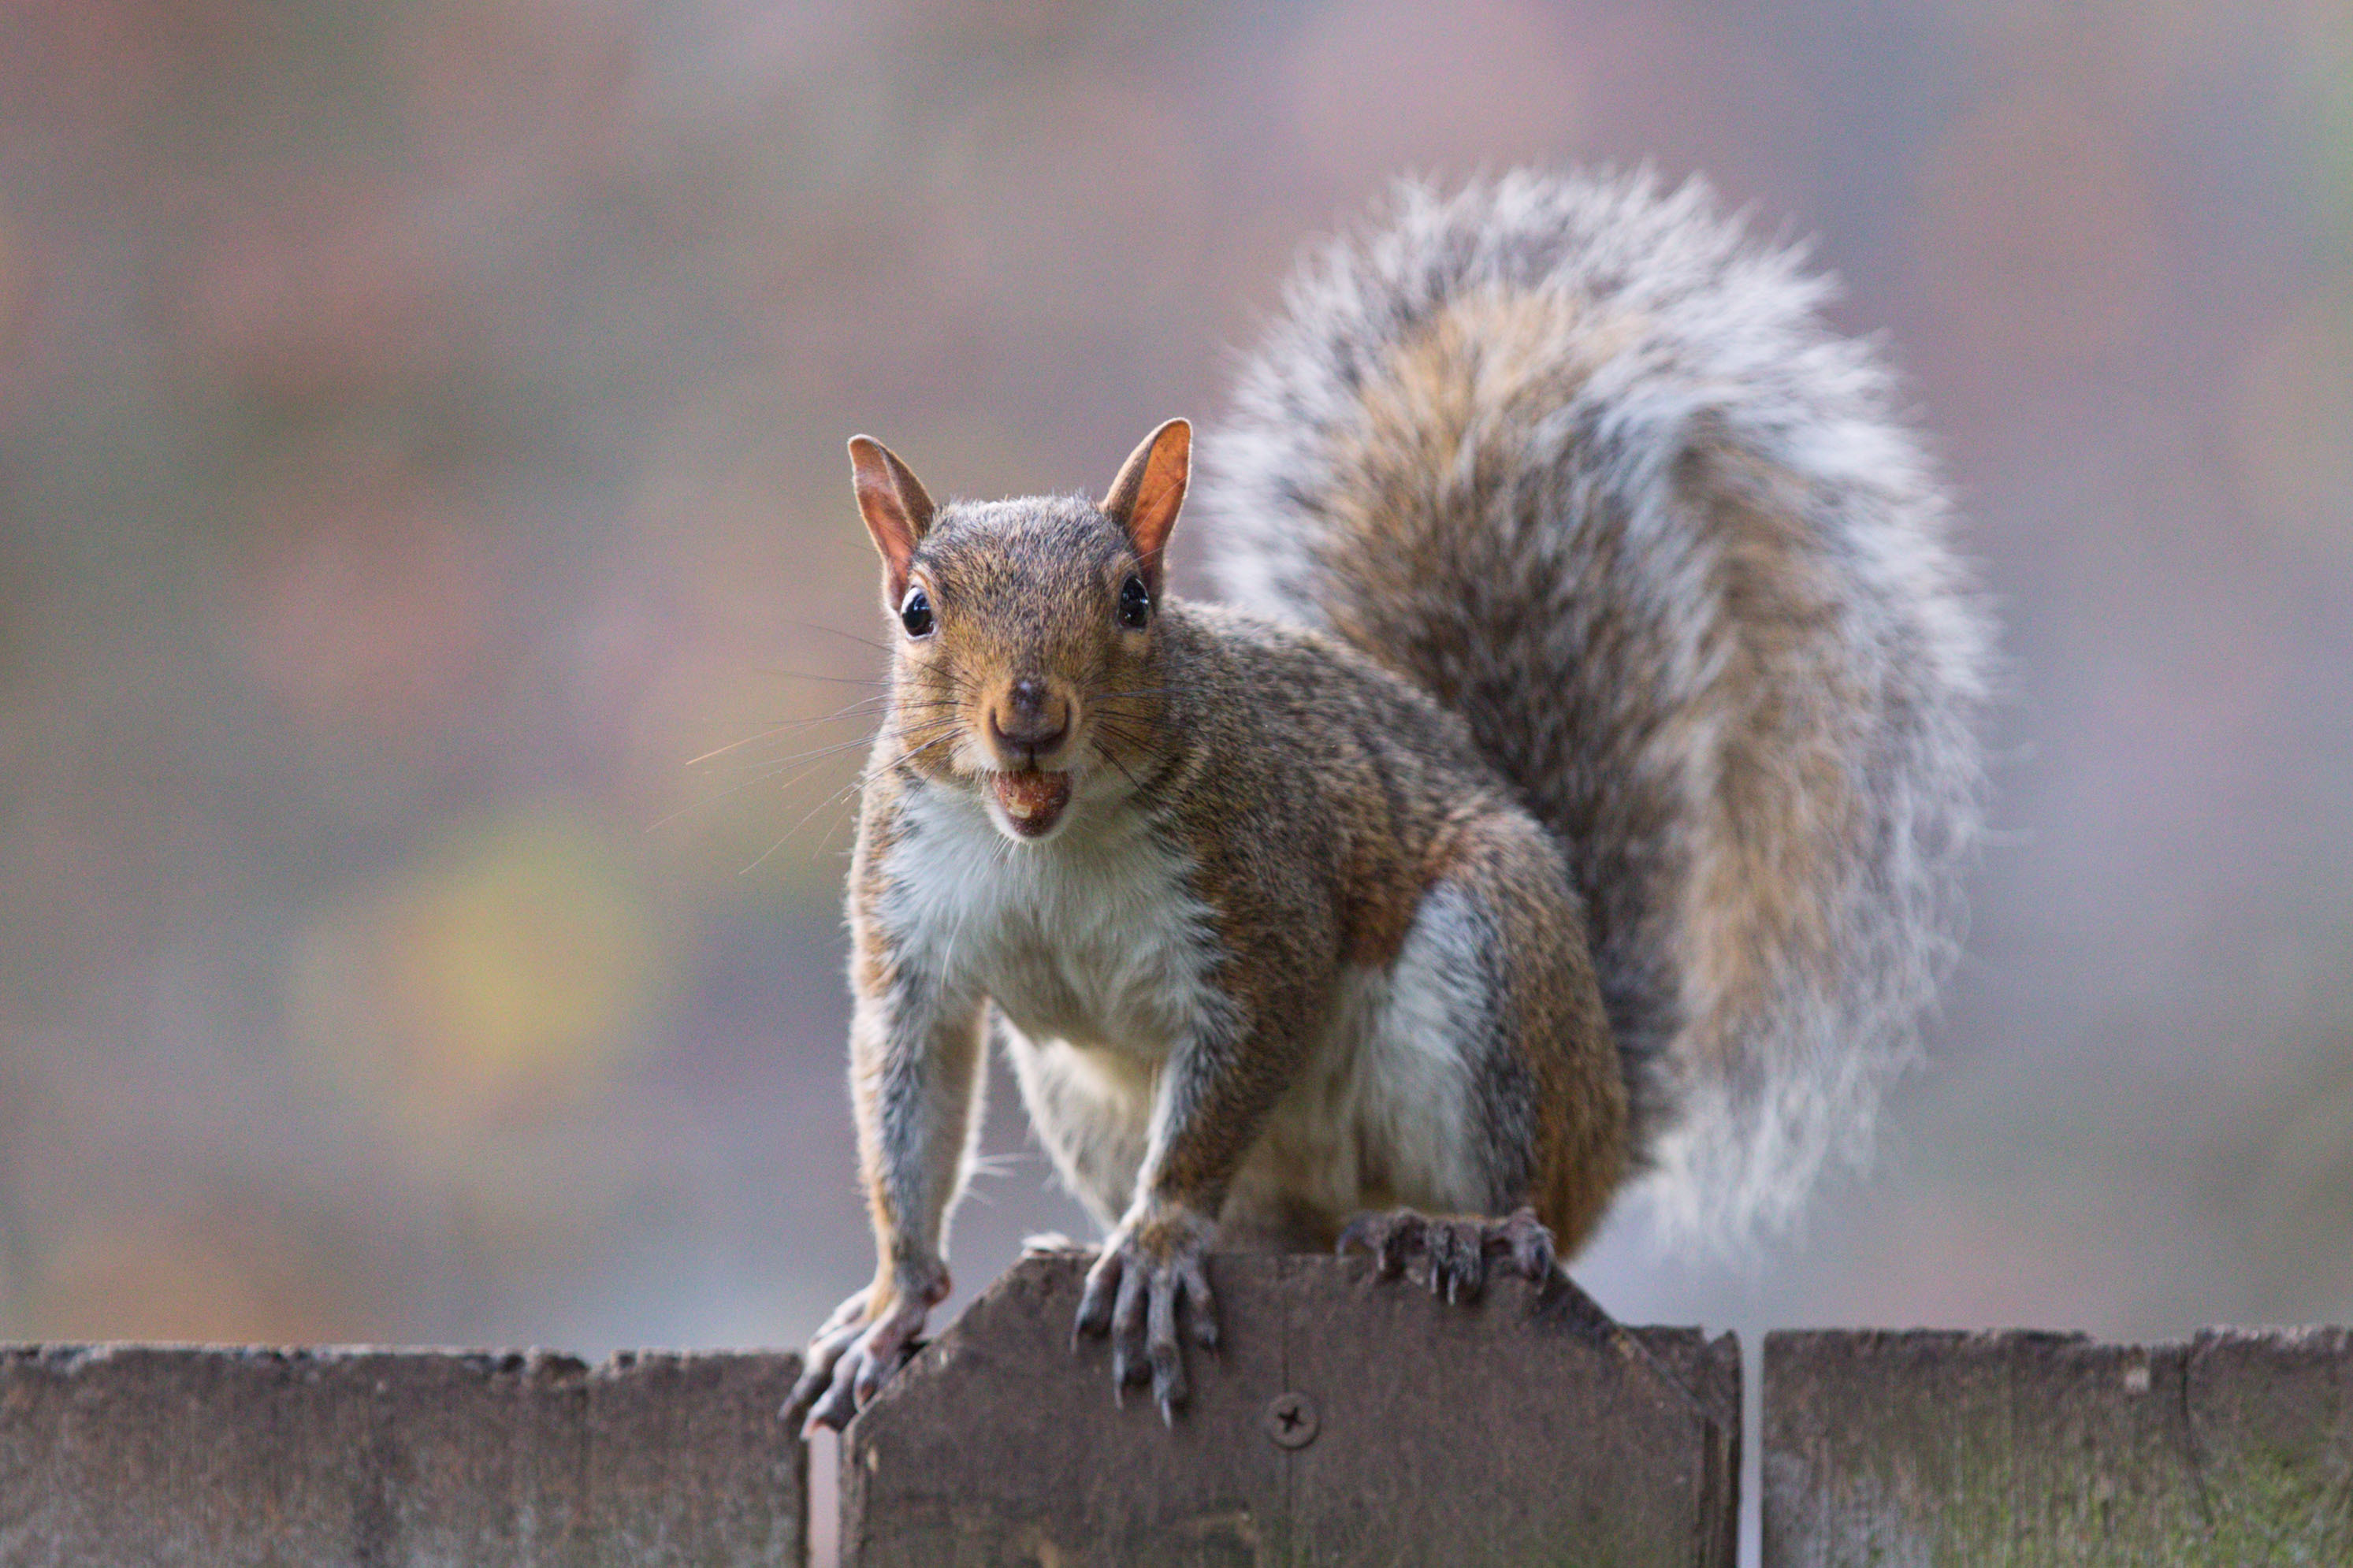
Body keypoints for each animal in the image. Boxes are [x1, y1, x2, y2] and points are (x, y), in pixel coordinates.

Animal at [786, 170, 1986, 1431]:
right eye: (917, 611)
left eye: (1133, 599)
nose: (1028, 712)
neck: (1046, 844)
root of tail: (1605, 1110)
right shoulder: (910, 930)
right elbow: (907, 1102)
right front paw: (893, 1302)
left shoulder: (1261, 911)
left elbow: (1225, 1088)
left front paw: (1157, 1243)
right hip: (1087, 1099)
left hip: (1488, 969)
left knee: (1526, 1206)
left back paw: (1451, 1231)